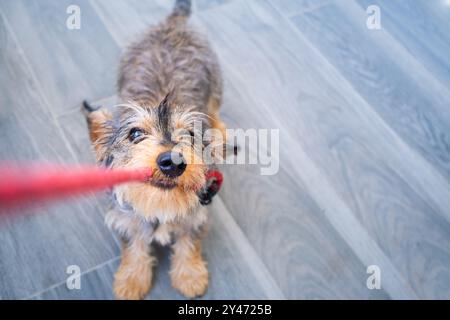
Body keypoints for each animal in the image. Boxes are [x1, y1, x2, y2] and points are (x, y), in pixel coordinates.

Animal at [82, 0, 227, 300]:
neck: (160, 204)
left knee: (216, 111)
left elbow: (188, 243)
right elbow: (134, 248)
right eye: (135, 134)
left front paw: (190, 275)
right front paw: (131, 279)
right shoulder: (126, 219)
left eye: (190, 135)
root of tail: (172, 23)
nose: (172, 161)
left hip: (215, 84)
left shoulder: (195, 216)